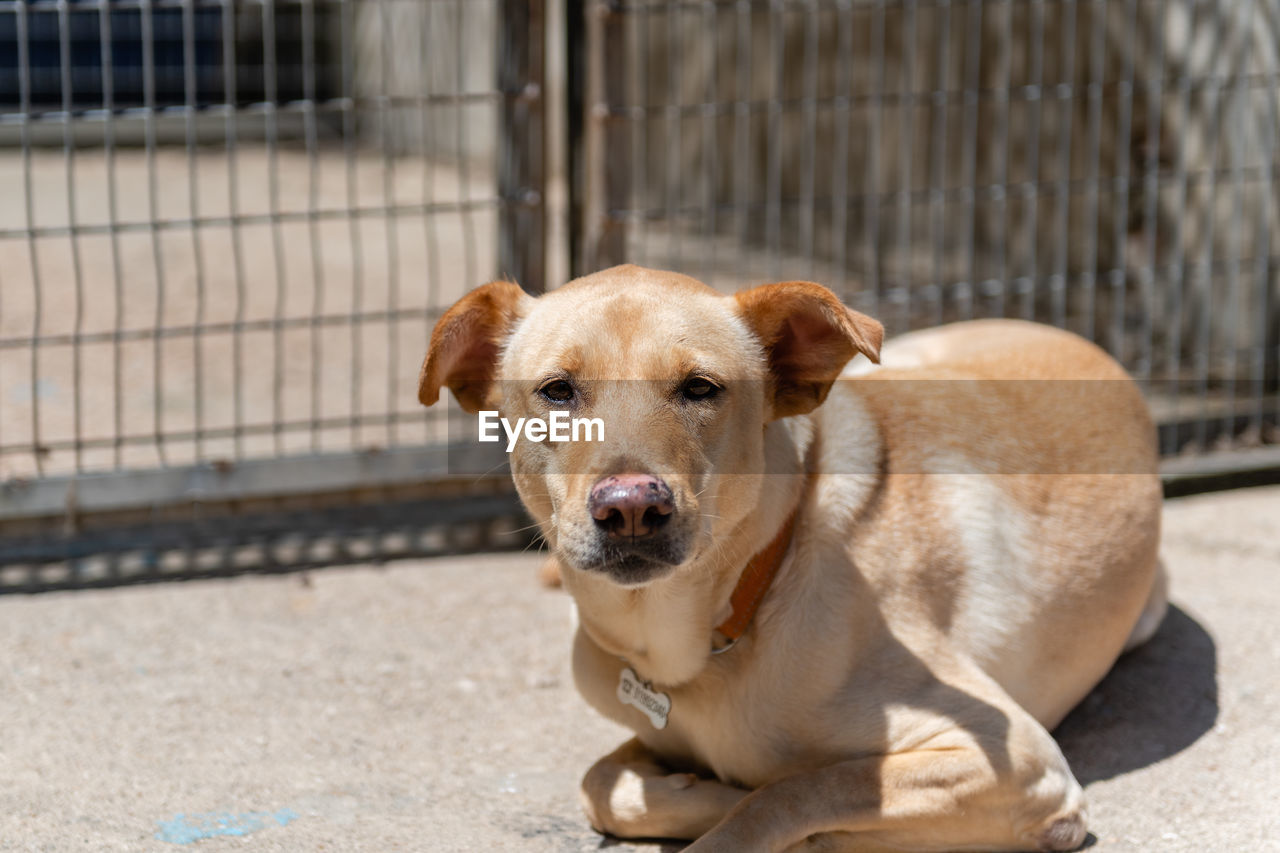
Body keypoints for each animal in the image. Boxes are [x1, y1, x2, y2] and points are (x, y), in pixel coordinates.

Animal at [417, 266, 1162, 850]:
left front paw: (742, 805)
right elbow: (599, 783)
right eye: (557, 390)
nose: (631, 508)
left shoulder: (1018, 757)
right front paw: (692, 788)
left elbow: (792, 793)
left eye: (700, 388)